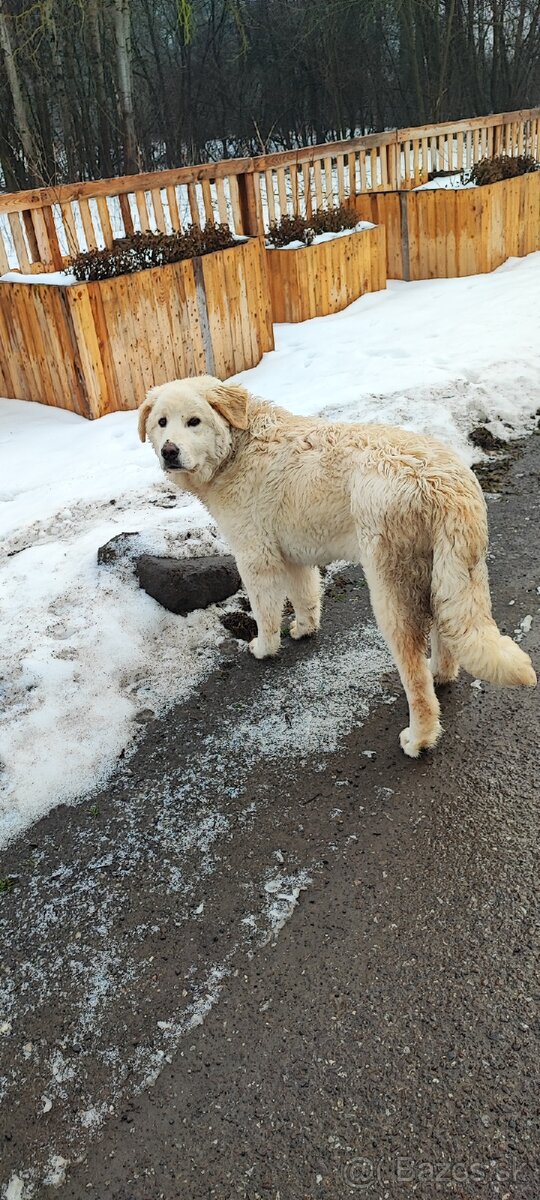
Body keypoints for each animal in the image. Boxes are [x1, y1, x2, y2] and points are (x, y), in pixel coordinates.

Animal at [138, 375, 536, 757]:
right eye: (162, 422)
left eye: (194, 421)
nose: (169, 451)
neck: (238, 446)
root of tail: (444, 482)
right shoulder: (294, 554)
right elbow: (305, 596)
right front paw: (304, 628)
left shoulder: (256, 557)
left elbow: (265, 614)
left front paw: (264, 648)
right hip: (446, 573)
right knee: (447, 629)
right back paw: (442, 674)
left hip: (392, 589)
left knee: (415, 674)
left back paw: (419, 738)